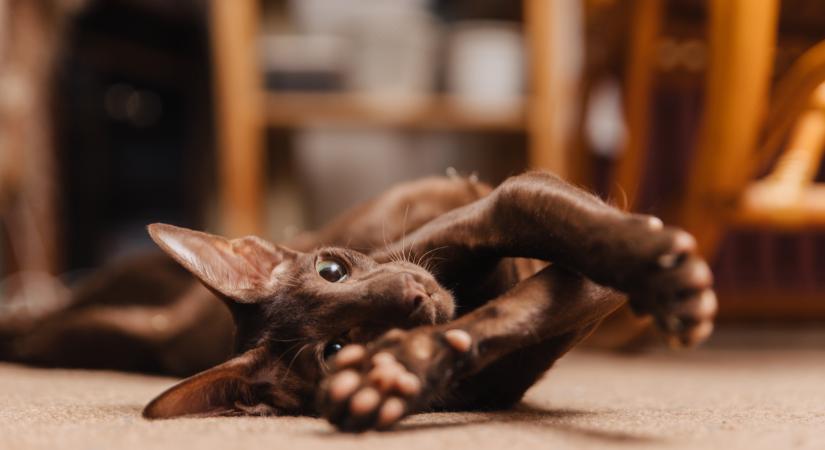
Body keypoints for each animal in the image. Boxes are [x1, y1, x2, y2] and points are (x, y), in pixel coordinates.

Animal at [0, 171, 716, 430]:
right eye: (336, 349)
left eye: (333, 269)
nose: (413, 295)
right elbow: (507, 314)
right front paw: (397, 370)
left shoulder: (520, 205)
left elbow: (537, 276)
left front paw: (661, 272)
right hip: (111, 332)